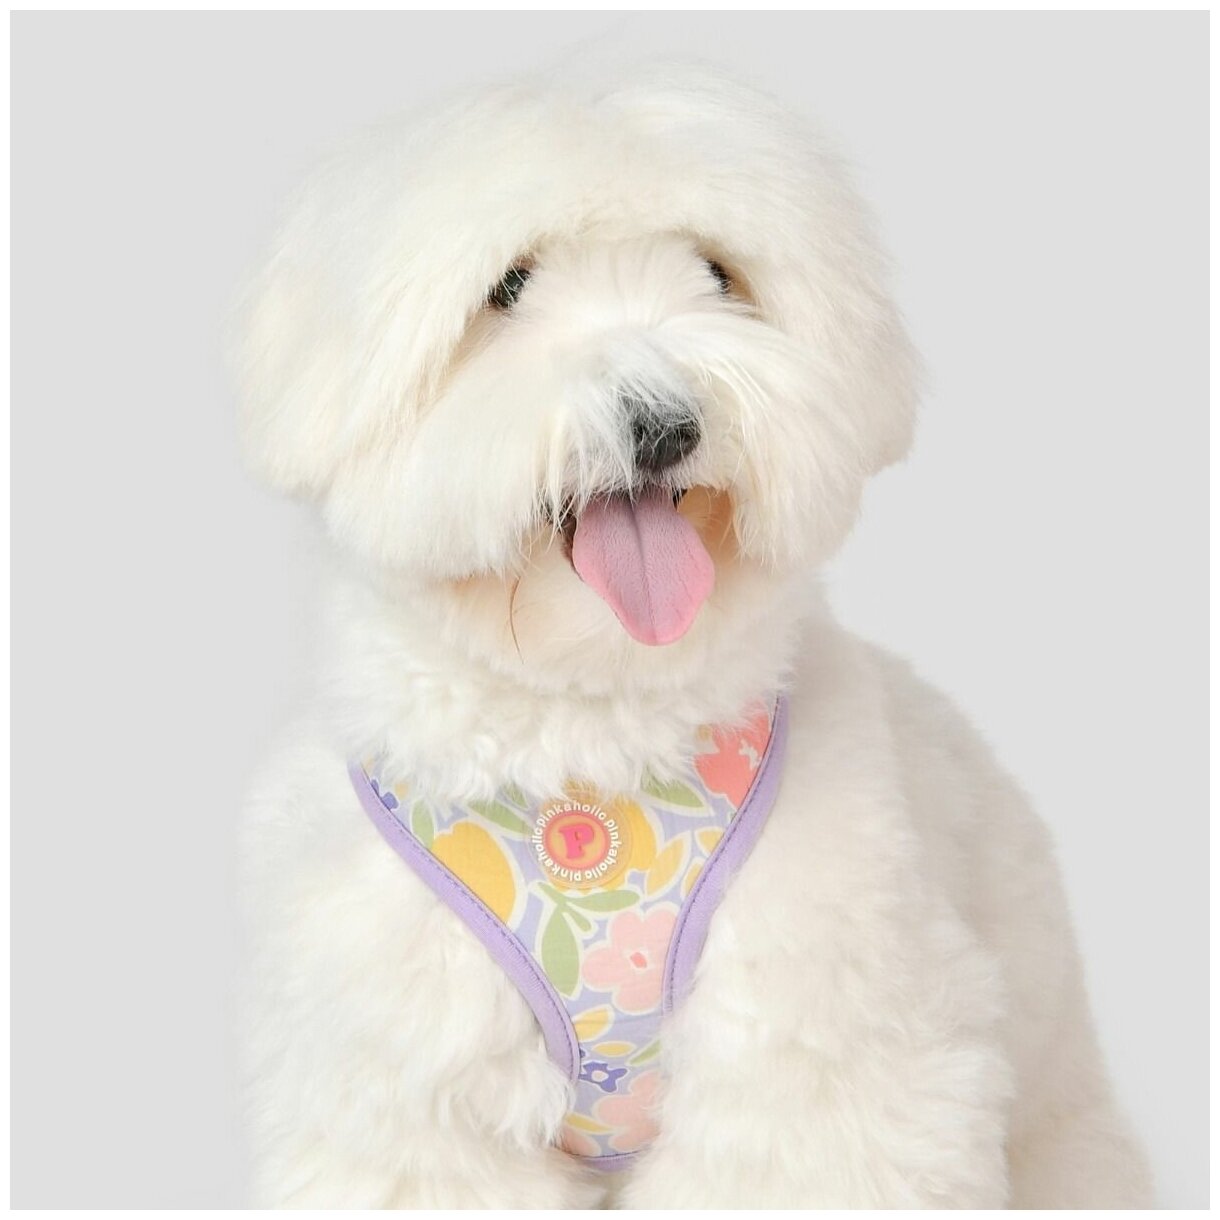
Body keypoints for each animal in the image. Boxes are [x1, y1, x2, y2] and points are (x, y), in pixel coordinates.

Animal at [233, 62, 1151, 1208]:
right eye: (507, 287)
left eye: (717, 274)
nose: (662, 422)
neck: (593, 735)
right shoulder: (412, 1104)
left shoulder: (822, 1070)